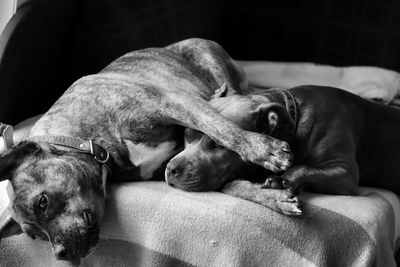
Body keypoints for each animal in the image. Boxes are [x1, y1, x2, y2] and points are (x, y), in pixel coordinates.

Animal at [166, 84, 400, 214]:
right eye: (187, 135)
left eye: (220, 144)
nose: (170, 170)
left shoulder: (345, 173)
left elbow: (304, 168)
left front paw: (281, 181)